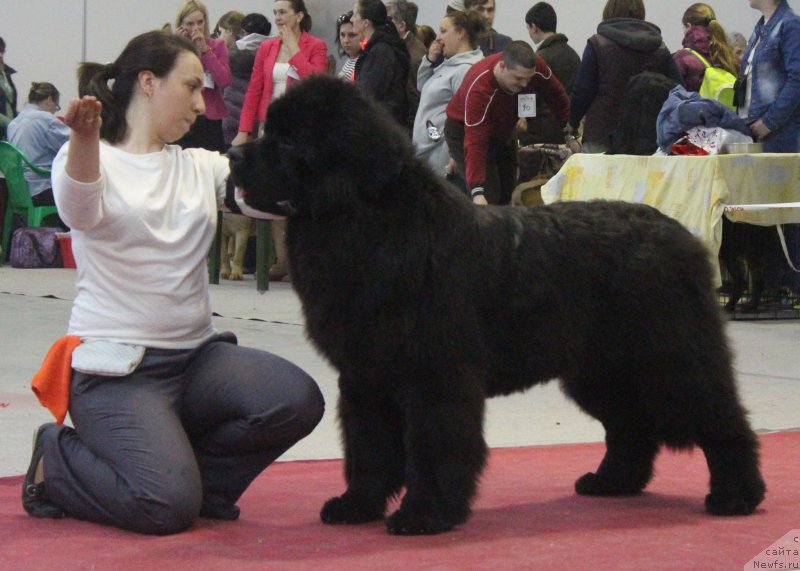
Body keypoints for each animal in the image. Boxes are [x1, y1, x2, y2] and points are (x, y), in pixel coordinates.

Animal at [228, 76, 764, 536]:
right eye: (269, 131)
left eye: (289, 143)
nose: (232, 154)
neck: (374, 226)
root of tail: (679, 234)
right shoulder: (365, 376)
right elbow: (368, 447)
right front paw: (357, 505)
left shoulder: (435, 376)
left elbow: (432, 446)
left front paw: (425, 514)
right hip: (601, 370)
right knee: (631, 426)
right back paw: (612, 482)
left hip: (671, 359)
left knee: (721, 418)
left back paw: (737, 495)